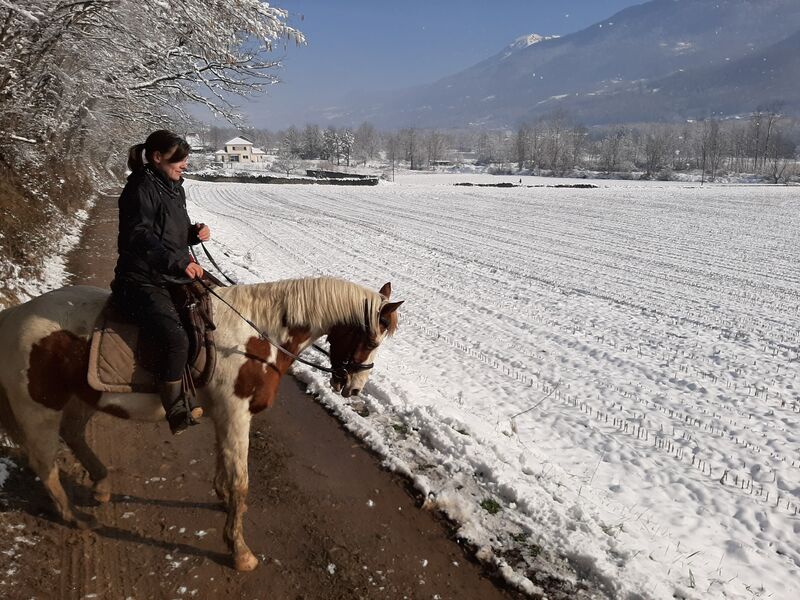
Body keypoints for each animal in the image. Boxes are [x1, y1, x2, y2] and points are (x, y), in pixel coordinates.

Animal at [0, 276, 402, 571]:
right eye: (371, 338)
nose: (353, 388)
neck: (257, 337)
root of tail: (14, 316)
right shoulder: (236, 413)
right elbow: (241, 481)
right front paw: (239, 551)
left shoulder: (224, 414)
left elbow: (223, 461)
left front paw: (223, 499)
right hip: (39, 408)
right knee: (45, 464)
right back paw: (74, 517)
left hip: (84, 397)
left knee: (73, 434)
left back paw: (100, 485)